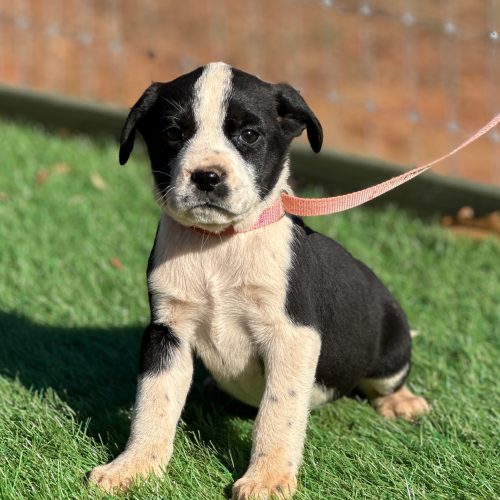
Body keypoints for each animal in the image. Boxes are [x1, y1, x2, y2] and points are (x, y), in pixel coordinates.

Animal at [89, 62, 429, 498]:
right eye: (172, 132)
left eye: (249, 135)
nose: (207, 177)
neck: (218, 246)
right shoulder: (167, 332)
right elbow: (153, 402)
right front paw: (133, 467)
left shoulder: (292, 337)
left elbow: (277, 412)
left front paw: (267, 478)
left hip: (389, 352)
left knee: (386, 382)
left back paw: (401, 401)